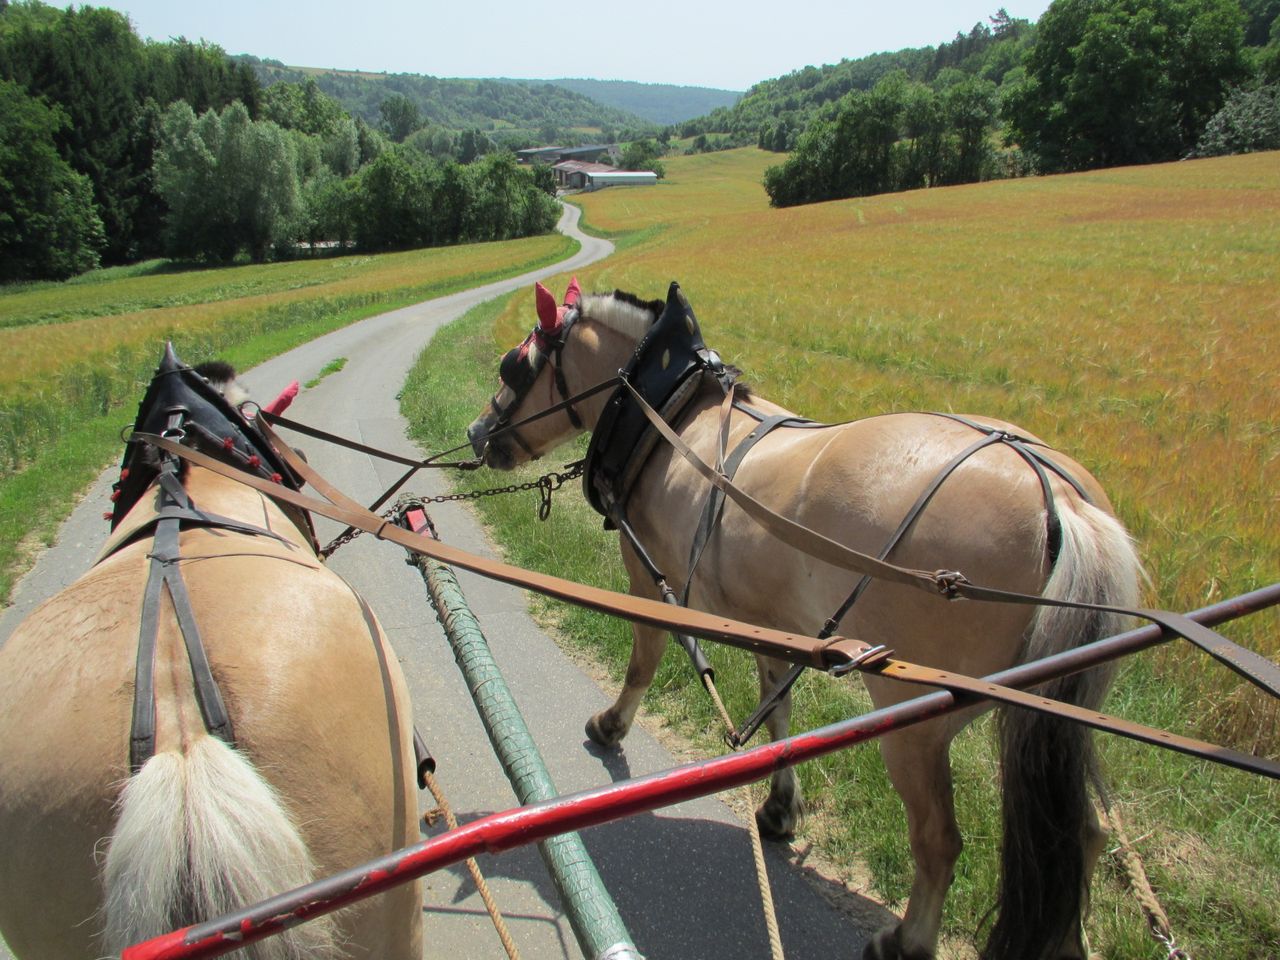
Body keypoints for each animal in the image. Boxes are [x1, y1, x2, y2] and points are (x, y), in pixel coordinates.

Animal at [465, 280, 1146, 960]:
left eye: (514, 364)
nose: (478, 432)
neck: (670, 412)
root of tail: (1062, 502)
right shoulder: (772, 621)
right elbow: (777, 713)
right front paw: (779, 809)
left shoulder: (648, 578)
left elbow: (645, 660)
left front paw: (610, 725)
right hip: (1050, 716)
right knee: (1077, 839)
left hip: (915, 720)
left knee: (938, 840)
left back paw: (905, 940)